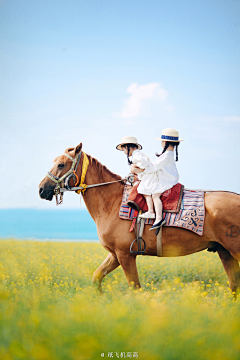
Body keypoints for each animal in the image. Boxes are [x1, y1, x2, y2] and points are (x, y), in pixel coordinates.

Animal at [38, 142, 240, 294]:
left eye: (61, 164)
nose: (41, 189)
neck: (112, 202)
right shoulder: (115, 255)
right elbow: (96, 278)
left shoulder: (125, 255)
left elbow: (135, 289)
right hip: (225, 252)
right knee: (234, 286)